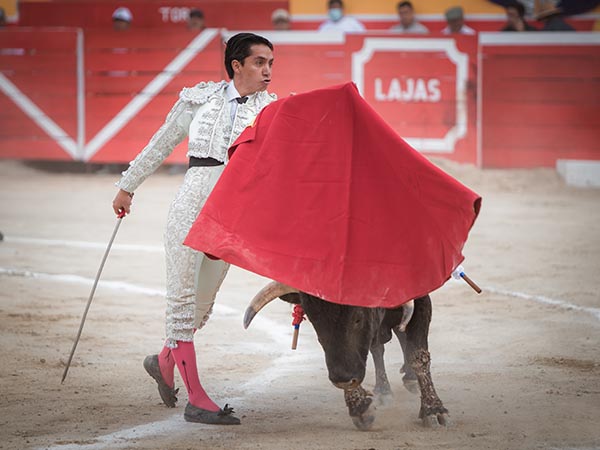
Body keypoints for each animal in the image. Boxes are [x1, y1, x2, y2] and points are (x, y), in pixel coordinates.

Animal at [244, 284, 450, 430]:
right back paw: (383, 390)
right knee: (379, 346)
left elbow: (417, 354)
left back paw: (409, 378)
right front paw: (359, 406)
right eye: (315, 320)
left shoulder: (421, 298)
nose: (341, 379)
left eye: (357, 318)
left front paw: (433, 410)